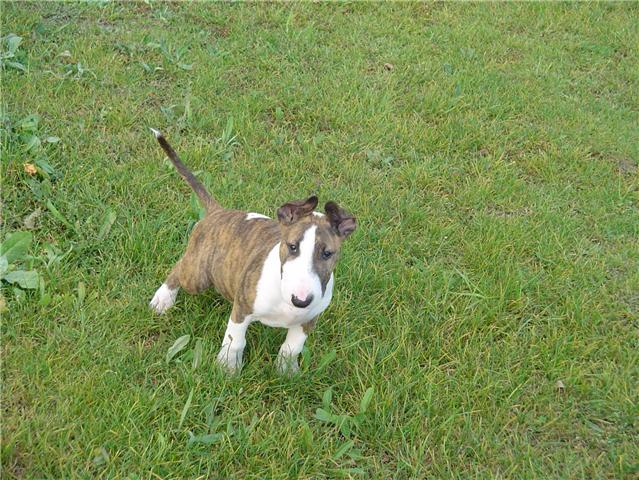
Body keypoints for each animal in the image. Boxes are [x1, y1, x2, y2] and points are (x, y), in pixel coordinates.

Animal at [148, 129, 356, 373]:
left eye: (327, 253)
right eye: (292, 246)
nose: (301, 300)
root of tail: (217, 212)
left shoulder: (308, 320)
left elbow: (292, 347)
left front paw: (287, 372)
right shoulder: (242, 308)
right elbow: (236, 340)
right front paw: (228, 368)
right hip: (197, 275)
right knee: (179, 269)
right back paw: (162, 300)